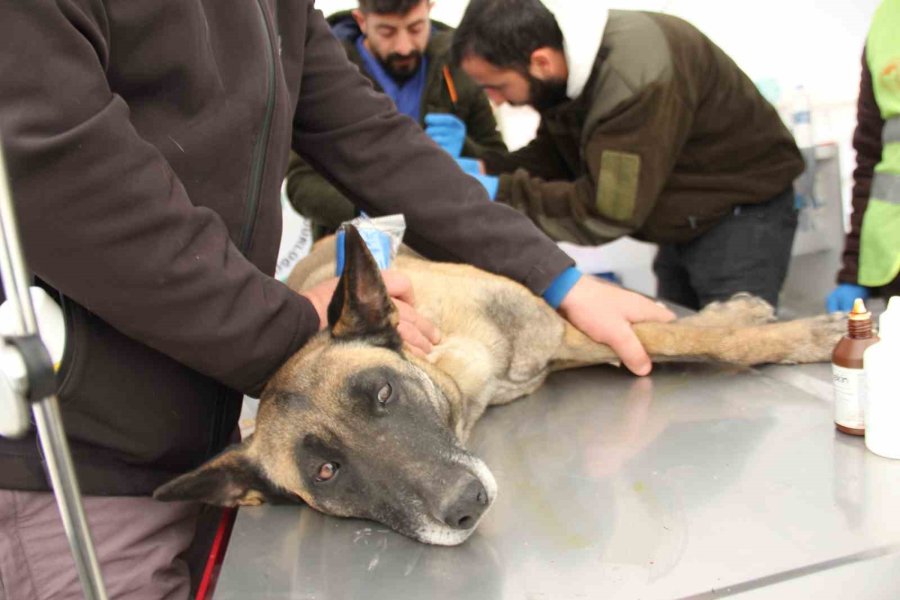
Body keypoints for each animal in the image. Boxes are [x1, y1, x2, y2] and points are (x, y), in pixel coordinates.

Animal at [153, 225, 844, 544]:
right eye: (326, 472)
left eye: (383, 394)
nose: (467, 505)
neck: (461, 376)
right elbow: (675, 340)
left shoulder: (563, 333)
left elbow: (689, 339)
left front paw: (795, 334)